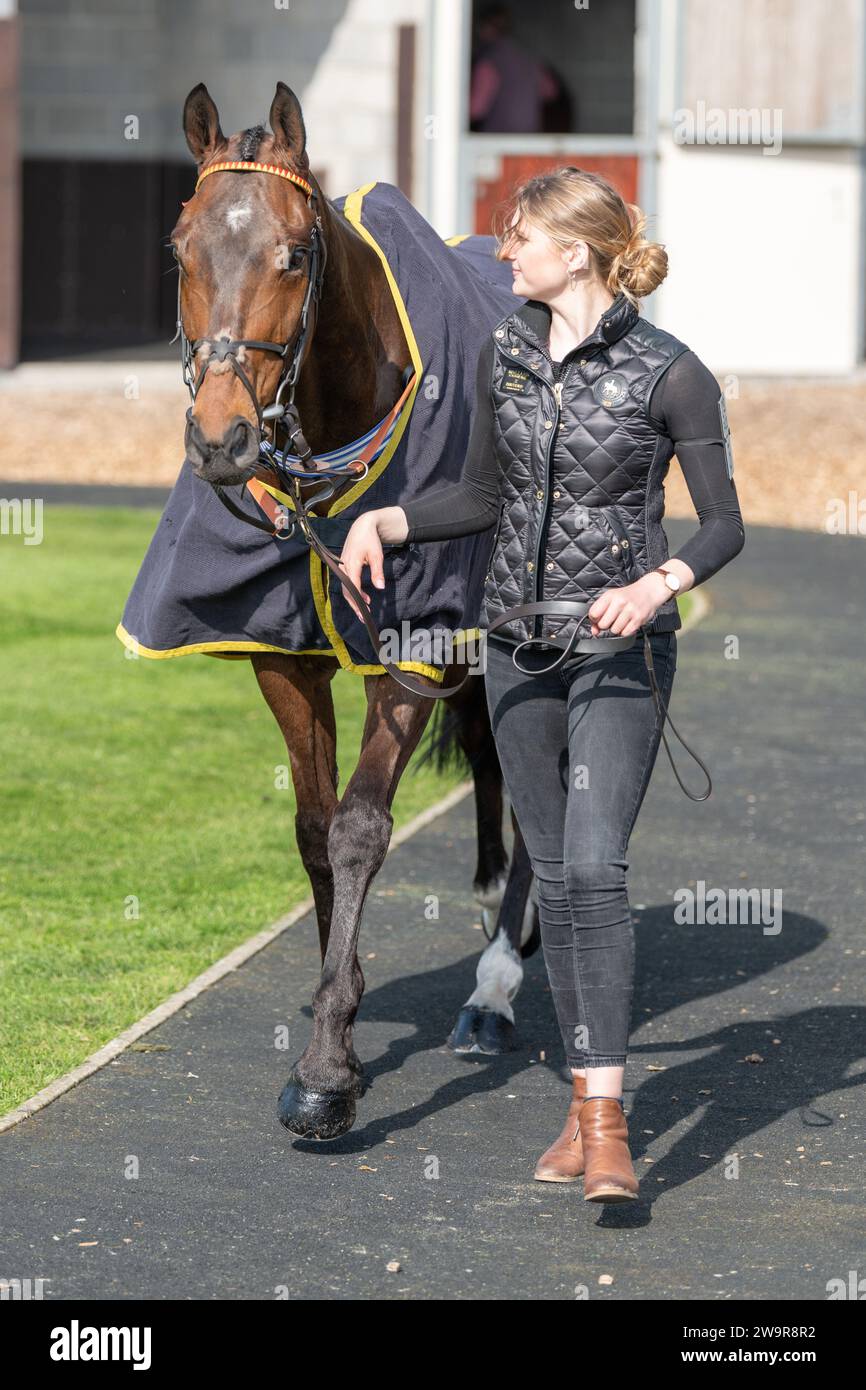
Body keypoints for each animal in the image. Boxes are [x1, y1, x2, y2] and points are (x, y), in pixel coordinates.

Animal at [175, 81, 539, 1134]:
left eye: (295, 254)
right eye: (179, 246)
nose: (221, 439)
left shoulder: (412, 650)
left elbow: (360, 829)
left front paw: (327, 1067)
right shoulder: (281, 658)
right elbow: (312, 825)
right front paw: (342, 1000)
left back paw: (497, 984)